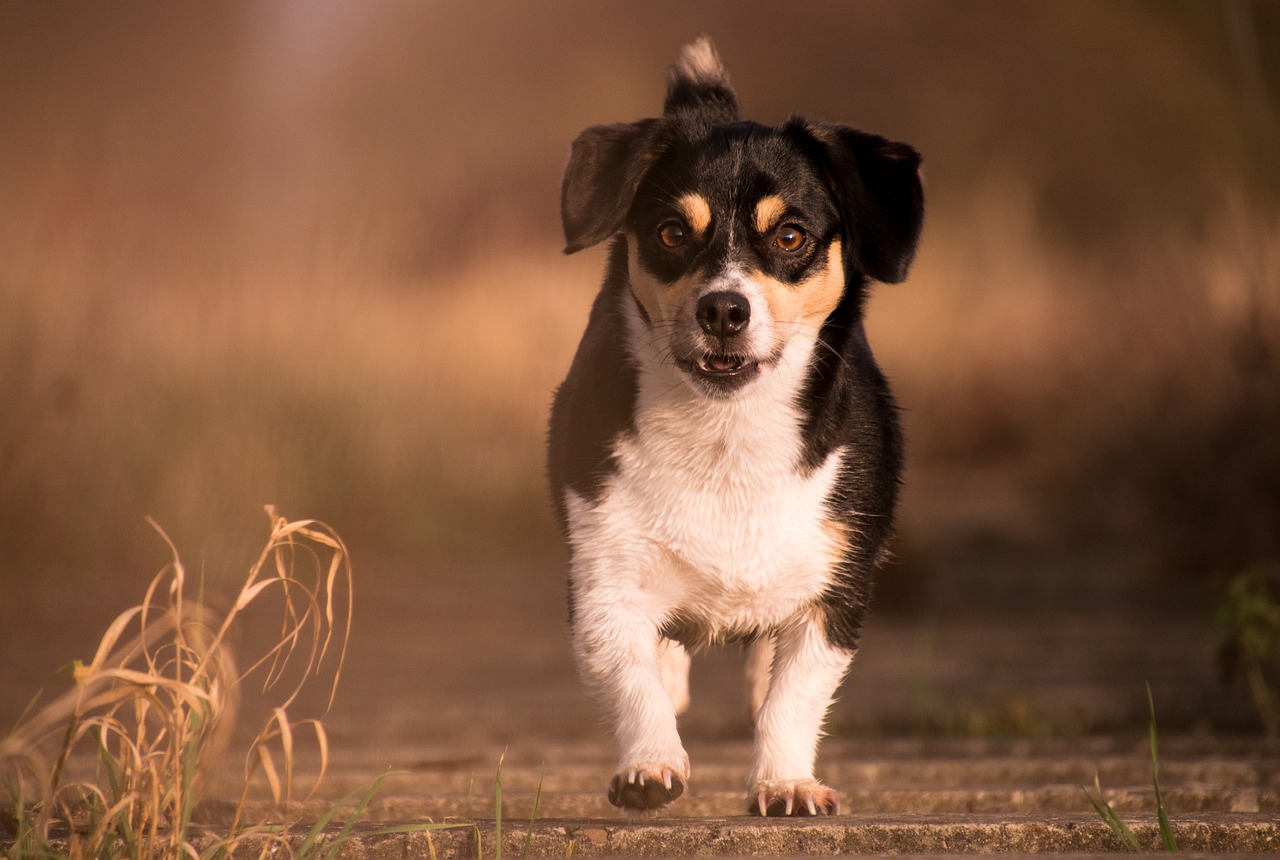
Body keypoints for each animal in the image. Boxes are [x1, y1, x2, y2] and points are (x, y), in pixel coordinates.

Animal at [545, 36, 926, 813]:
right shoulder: (603, 582)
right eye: (670, 233)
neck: (727, 436)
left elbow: (794, 697)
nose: (724, 307)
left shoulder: (836, 594)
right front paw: (649, 764)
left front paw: (785, 781)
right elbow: (629, 678)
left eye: (791, 235)